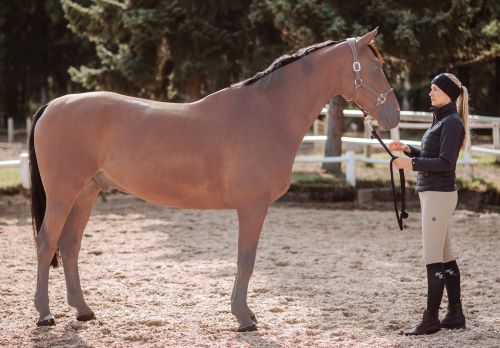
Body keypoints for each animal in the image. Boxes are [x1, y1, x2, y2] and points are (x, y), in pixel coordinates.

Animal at [30, 27, 398, 332]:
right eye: (375, 67)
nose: (393, 116)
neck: (268, 113)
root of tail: (52, 105)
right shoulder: (252, 207)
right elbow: (246, 260)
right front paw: (243, 318)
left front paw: (246, 314)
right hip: (63, 194)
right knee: (47, 242)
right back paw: (45, 314)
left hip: (85, 194)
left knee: (70, 246)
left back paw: (83, 310)